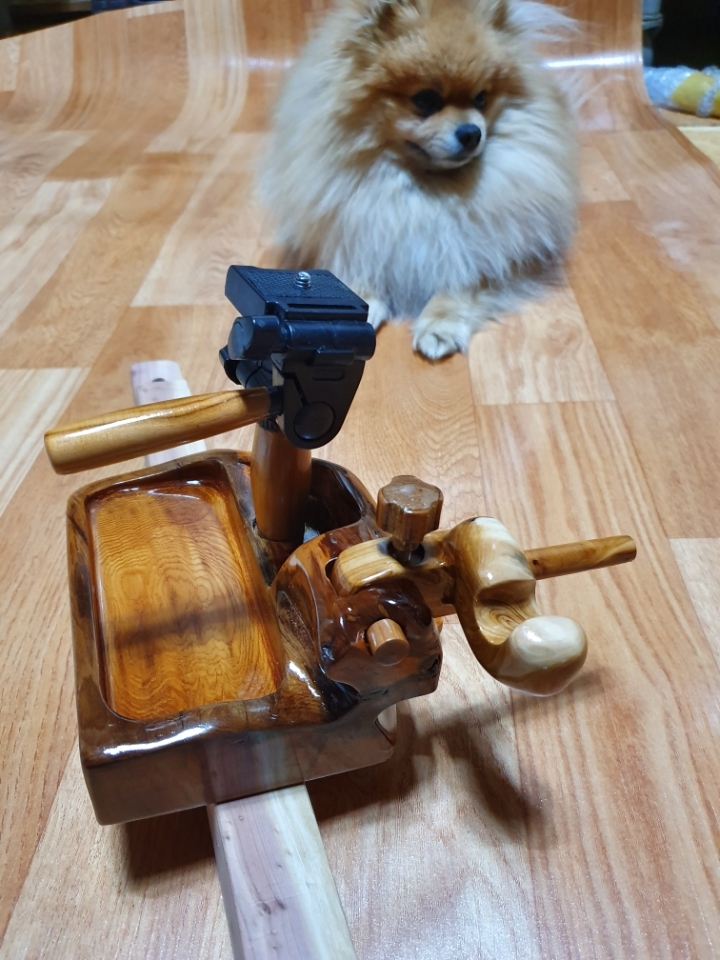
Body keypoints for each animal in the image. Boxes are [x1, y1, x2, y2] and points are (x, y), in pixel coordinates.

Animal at [260, 0, 579, 359]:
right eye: (425, 100)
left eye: (481, 98)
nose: (472, 133)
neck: (426, 189)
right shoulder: (357, 230)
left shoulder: (489, 247)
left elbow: (465, 280)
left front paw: (441, 323)